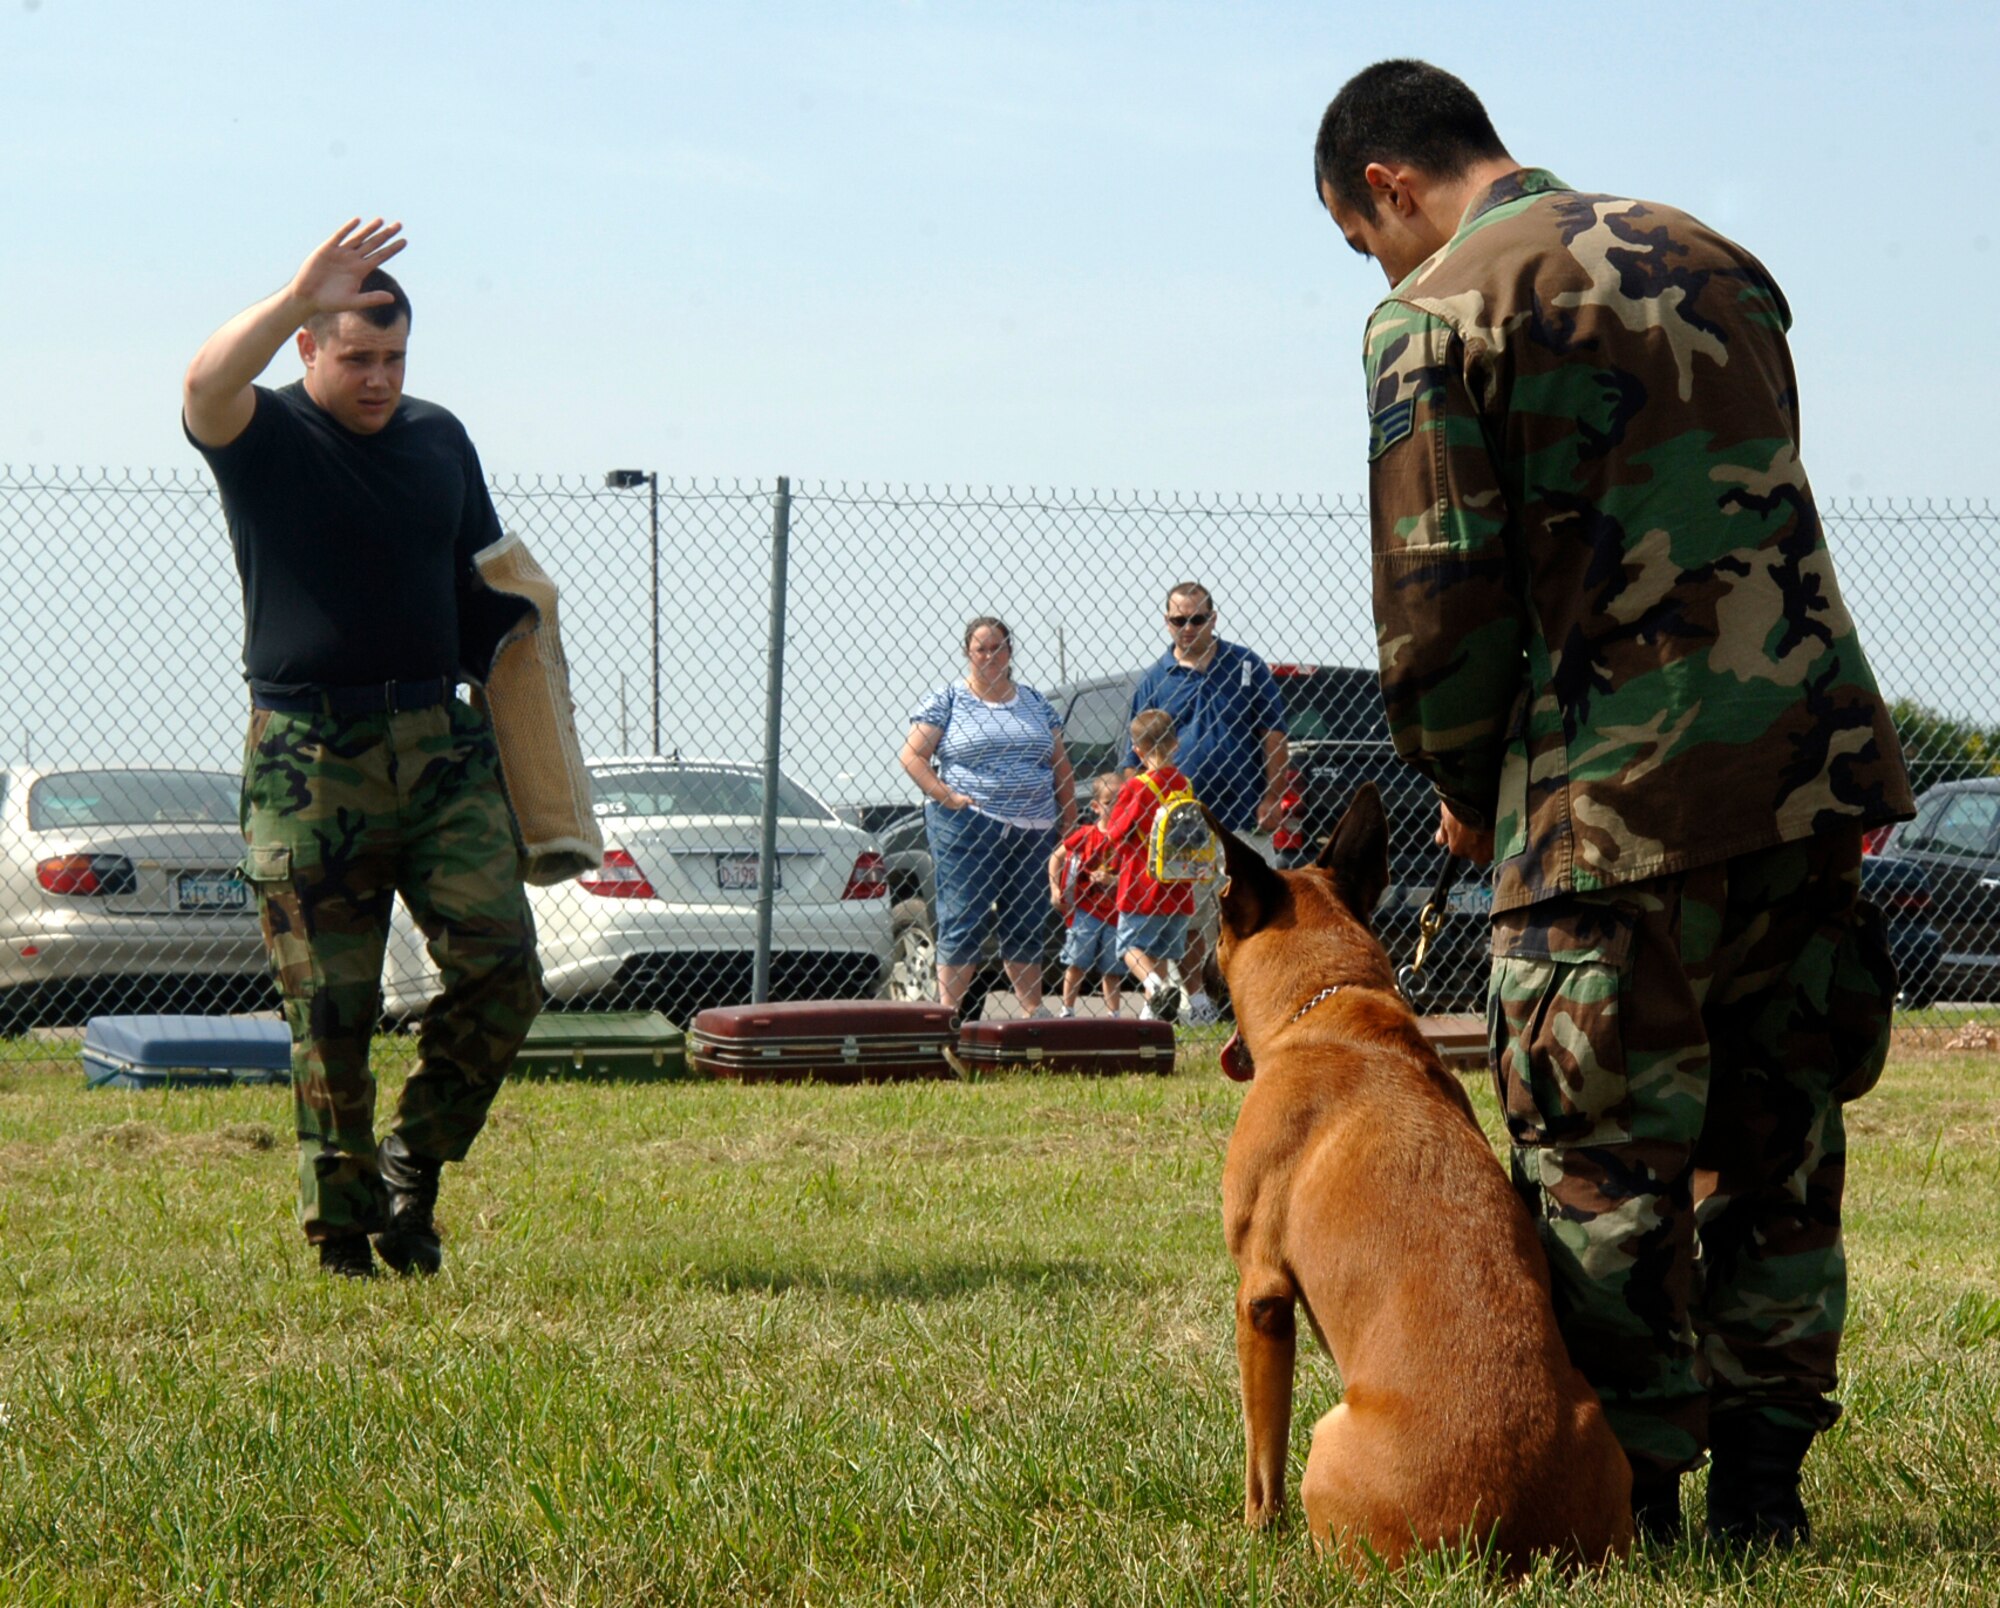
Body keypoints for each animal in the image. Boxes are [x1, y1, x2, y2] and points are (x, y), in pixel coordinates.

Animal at [1208, 784, 1632, 1576]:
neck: (1333, 1006)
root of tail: (1505, 1545)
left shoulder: (1262, 1295)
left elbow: (1260, 1455)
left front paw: (1253, 1535)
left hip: (1326, 1437)